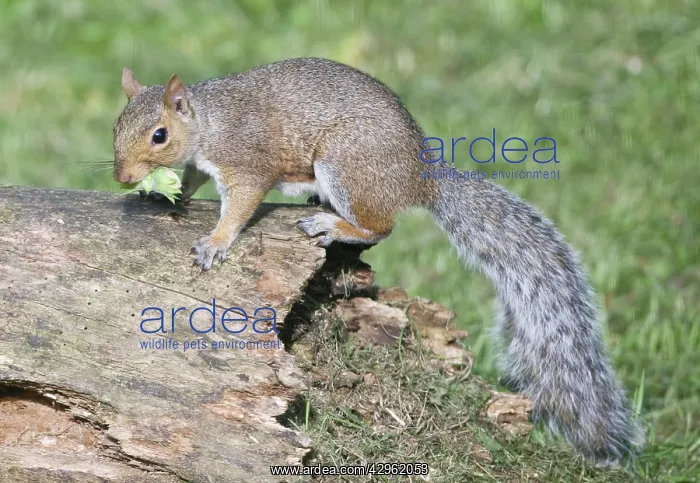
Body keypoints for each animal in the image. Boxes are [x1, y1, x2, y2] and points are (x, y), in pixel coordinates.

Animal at [113, 57, 644, 465]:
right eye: (117, 126)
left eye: (159, 135)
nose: (121, 176)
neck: (209, 123)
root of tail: (420, 177)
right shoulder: (202, 164)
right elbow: (192, 179)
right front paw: (166, 195)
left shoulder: (246, 164)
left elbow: (240, 206)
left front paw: (216, 242)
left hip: (345, 164)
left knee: (381, 226)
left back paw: (333, 225)